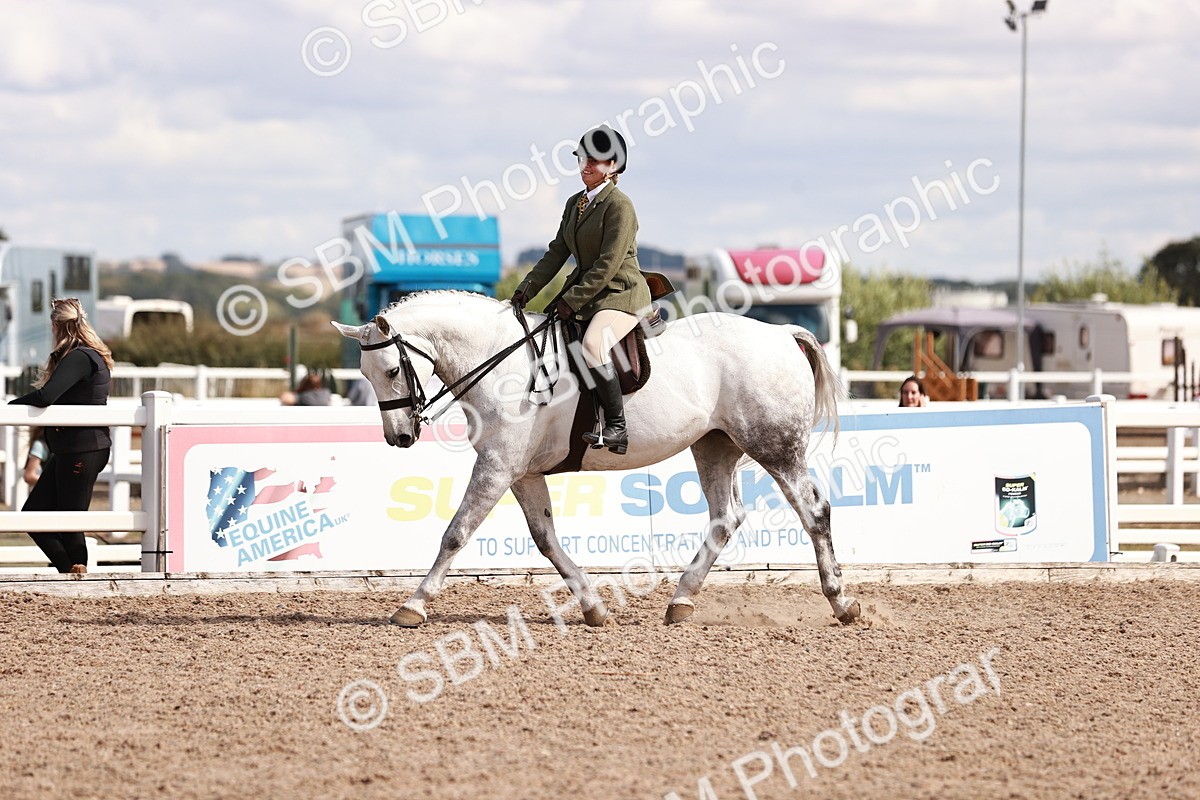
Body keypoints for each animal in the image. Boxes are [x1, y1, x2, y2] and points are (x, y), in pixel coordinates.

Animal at [333, 290, 861, 628]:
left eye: (393, 370)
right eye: (365, 374)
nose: (399, 437)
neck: (500, 360)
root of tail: (782, 334)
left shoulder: (497, 467)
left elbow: (455, 533)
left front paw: (414, 605)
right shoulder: (520, 472)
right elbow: (545, 539)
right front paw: (592, 608)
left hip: (775, 446)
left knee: (814, 511)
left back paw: (841, 602)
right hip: (715, 445)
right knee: (724, 518)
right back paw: (681, 602)